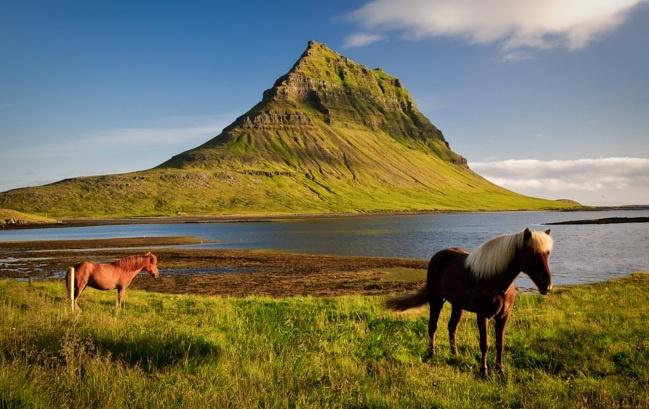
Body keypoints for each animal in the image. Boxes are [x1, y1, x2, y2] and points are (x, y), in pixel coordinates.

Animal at [384, 226, 552, 372]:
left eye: (548, 253)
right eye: (531, 253)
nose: (547, 286)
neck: (495, 281)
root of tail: (438, 256)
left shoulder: (503, 316)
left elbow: (500, 343)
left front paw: (500, 369)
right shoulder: (482, 315)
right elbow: (484, 343)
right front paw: (484, 371)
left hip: (457, 305)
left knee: (452, 327)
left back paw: (455, 355)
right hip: (436, 300)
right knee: (432, 326)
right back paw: (431, 353)